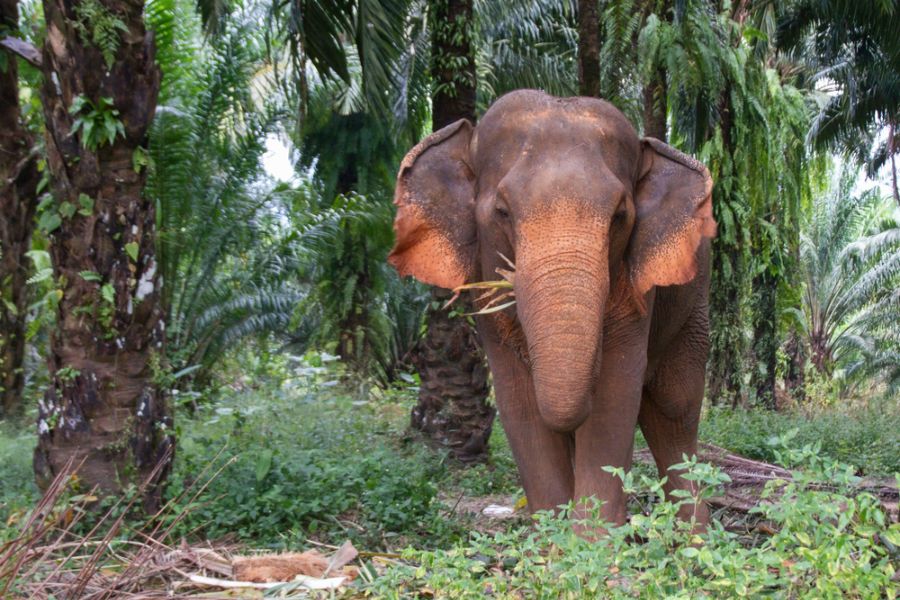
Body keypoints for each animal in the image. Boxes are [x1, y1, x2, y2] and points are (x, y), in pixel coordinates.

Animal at [390, 88, 712, 524]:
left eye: (620, 215)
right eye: (502, 212)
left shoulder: (636, 293)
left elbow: (616, 391)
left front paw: (593, 539)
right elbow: (518, 401)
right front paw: (552, 536)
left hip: (695, 304)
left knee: (673, 407)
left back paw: (694, 534)